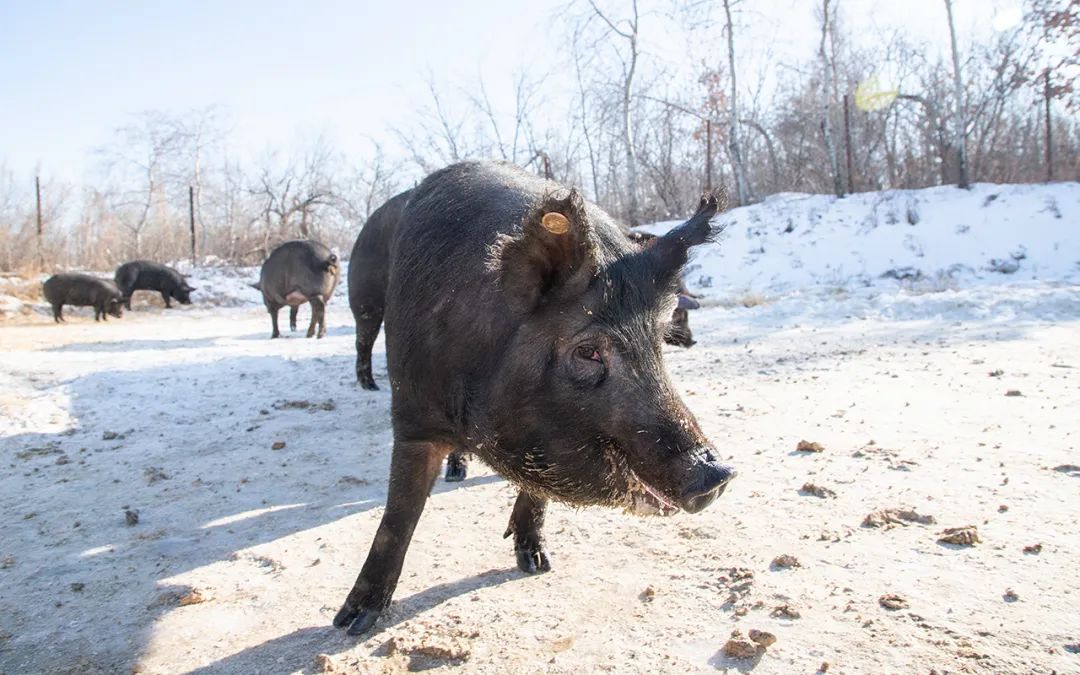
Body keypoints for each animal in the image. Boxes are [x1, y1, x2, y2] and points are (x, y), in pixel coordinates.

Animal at [332, 160, 734, 635]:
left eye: (658, 339)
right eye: (587, 351)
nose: (717, 473)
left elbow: (537, 492)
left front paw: (538, 564)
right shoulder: (414, 415)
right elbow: (399, 515)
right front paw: (351, 623)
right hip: (364, 301)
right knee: (363, 337)